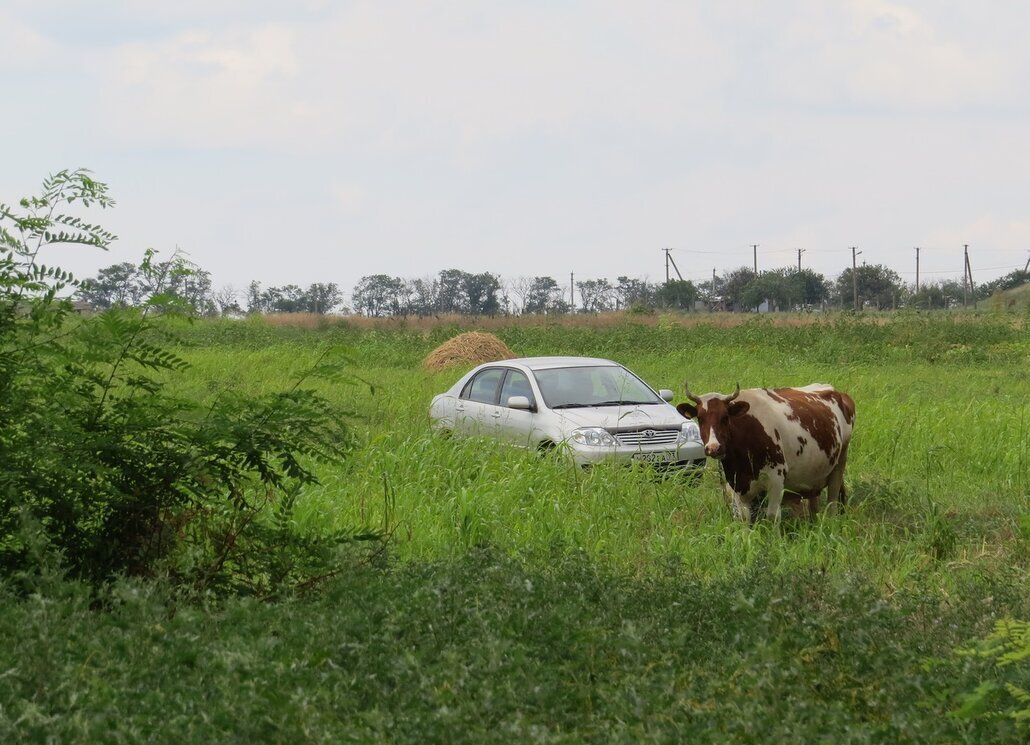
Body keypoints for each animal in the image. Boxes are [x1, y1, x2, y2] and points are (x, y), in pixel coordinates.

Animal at [671, 385, 856, 525]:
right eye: (700, 419)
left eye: (725, 417)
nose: (713, 448)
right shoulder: (736, 483)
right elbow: (743, 518)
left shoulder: (776, 479)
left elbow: (772, 516)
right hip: (813, 477)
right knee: (814, 506)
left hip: (840, 464)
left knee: (832, 503)